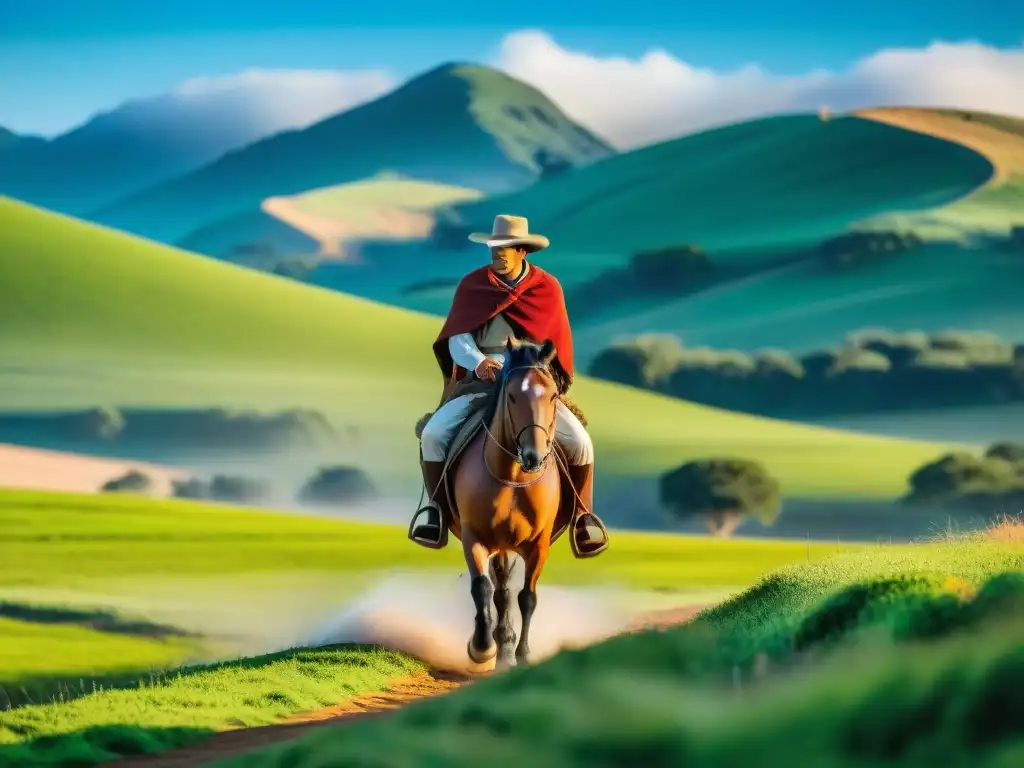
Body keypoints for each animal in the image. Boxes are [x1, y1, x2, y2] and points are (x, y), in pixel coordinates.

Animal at [450, 335, 573, 667]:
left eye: (553, 396)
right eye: (513, 397)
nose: (533, 457)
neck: (513, 477)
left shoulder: (538, 544)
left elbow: (527, 596)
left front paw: (524, 654)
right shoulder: (475, 537)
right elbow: (481, 587)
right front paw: (481, 648)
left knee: (506, 591)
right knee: (498, 589)